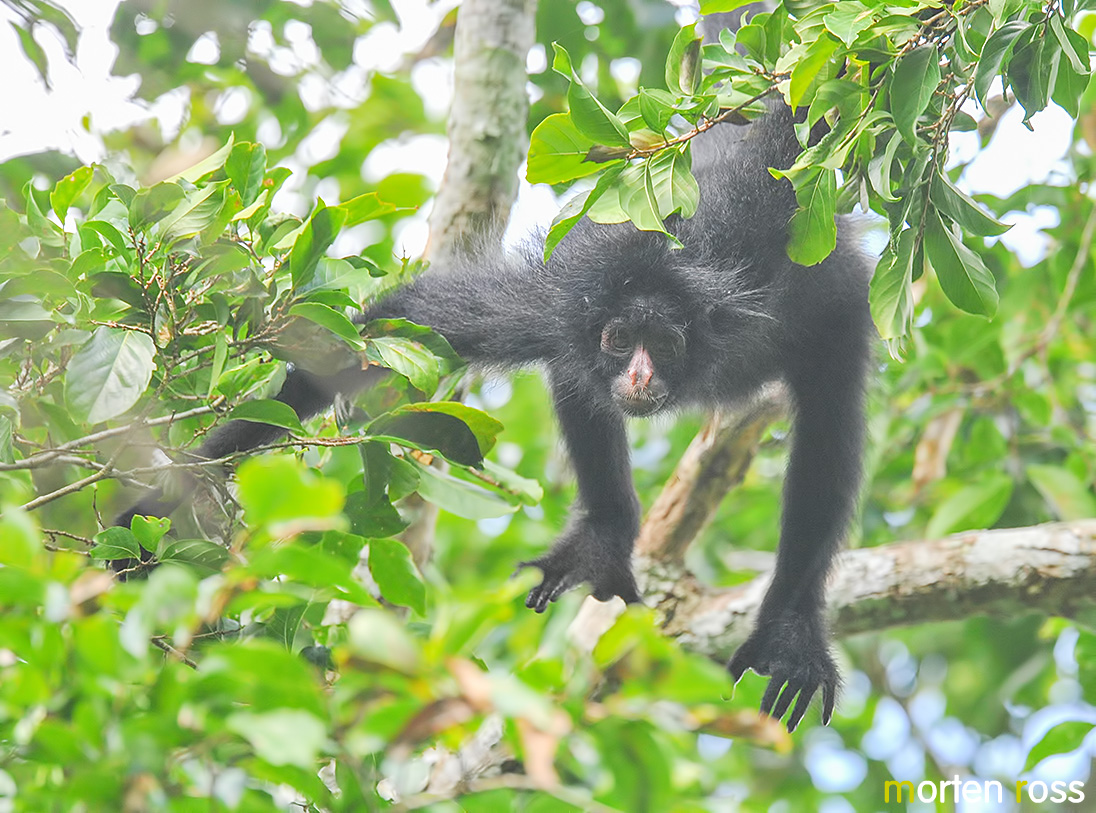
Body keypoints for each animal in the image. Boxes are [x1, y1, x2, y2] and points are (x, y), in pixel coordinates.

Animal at [117, 102, 873, 732]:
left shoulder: (804, 303)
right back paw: (603, 537)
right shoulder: (555, 308)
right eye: (620, 339)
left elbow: (826, 444)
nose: (637, 376)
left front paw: (791, 634)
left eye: (664, 344)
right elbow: (389, 327)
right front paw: (159, 514)